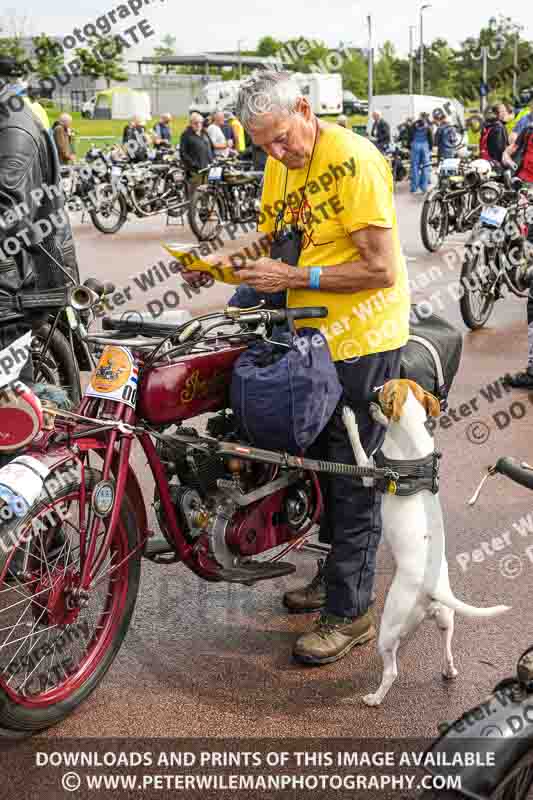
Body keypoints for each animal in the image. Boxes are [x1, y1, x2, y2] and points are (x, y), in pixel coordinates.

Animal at [340, 382, 512, 708]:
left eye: (384, 389)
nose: (373, 390)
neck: (410, 430)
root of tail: (433, 588)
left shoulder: (369, 471)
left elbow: (358, 449)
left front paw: (351, 420)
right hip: (446, 618)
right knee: (447, 647)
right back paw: (449, 671)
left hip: (389, 627)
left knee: (392, 670)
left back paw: (374, 698)